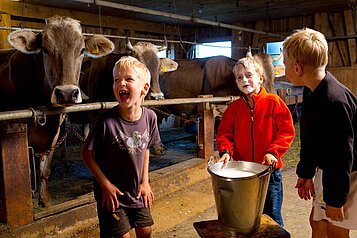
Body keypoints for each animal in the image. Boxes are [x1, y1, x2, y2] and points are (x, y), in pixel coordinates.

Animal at [0, 15, 113, 207]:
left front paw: (45, 199)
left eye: (82, 50)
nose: (67, 93)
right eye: (45, 49)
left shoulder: (54, 132)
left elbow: (45, 169)